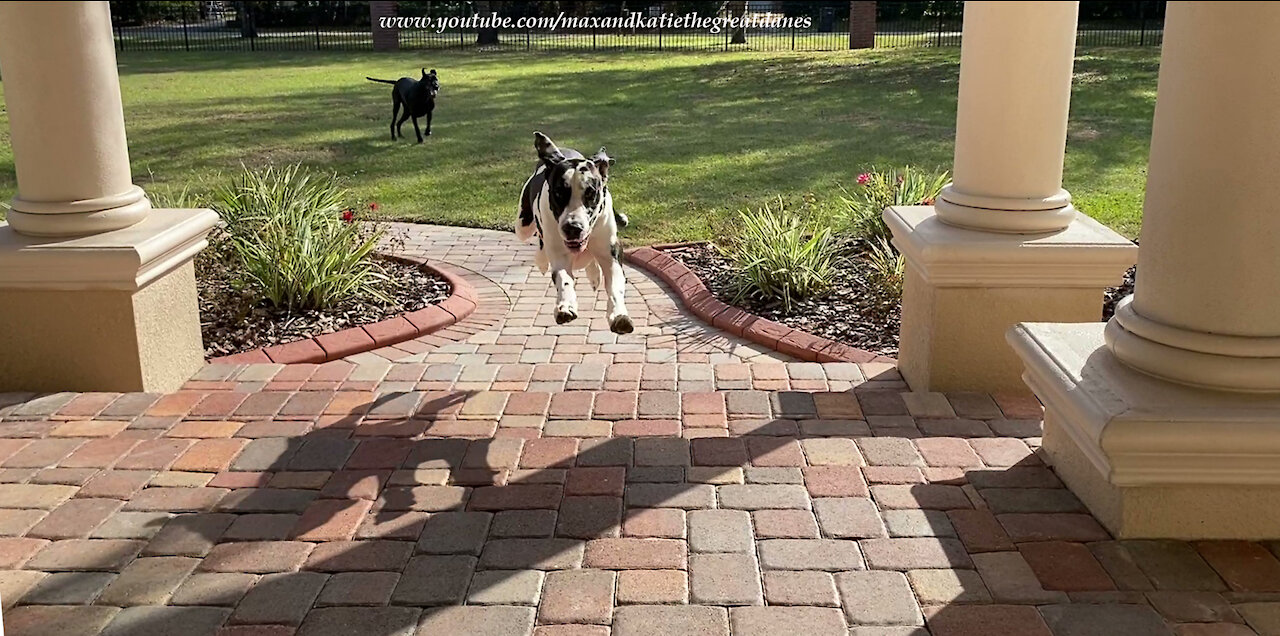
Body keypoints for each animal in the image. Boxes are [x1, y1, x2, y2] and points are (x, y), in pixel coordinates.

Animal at [514, 131, 634, 335]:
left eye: (591, 193)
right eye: (559, 193)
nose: (573, 227)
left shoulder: (611, 254)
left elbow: (615, 287)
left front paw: (619, 315)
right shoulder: (559, 255)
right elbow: (564, 280)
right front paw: (566, 306)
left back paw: (593, 274)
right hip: (522, 226)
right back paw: (542, 259)